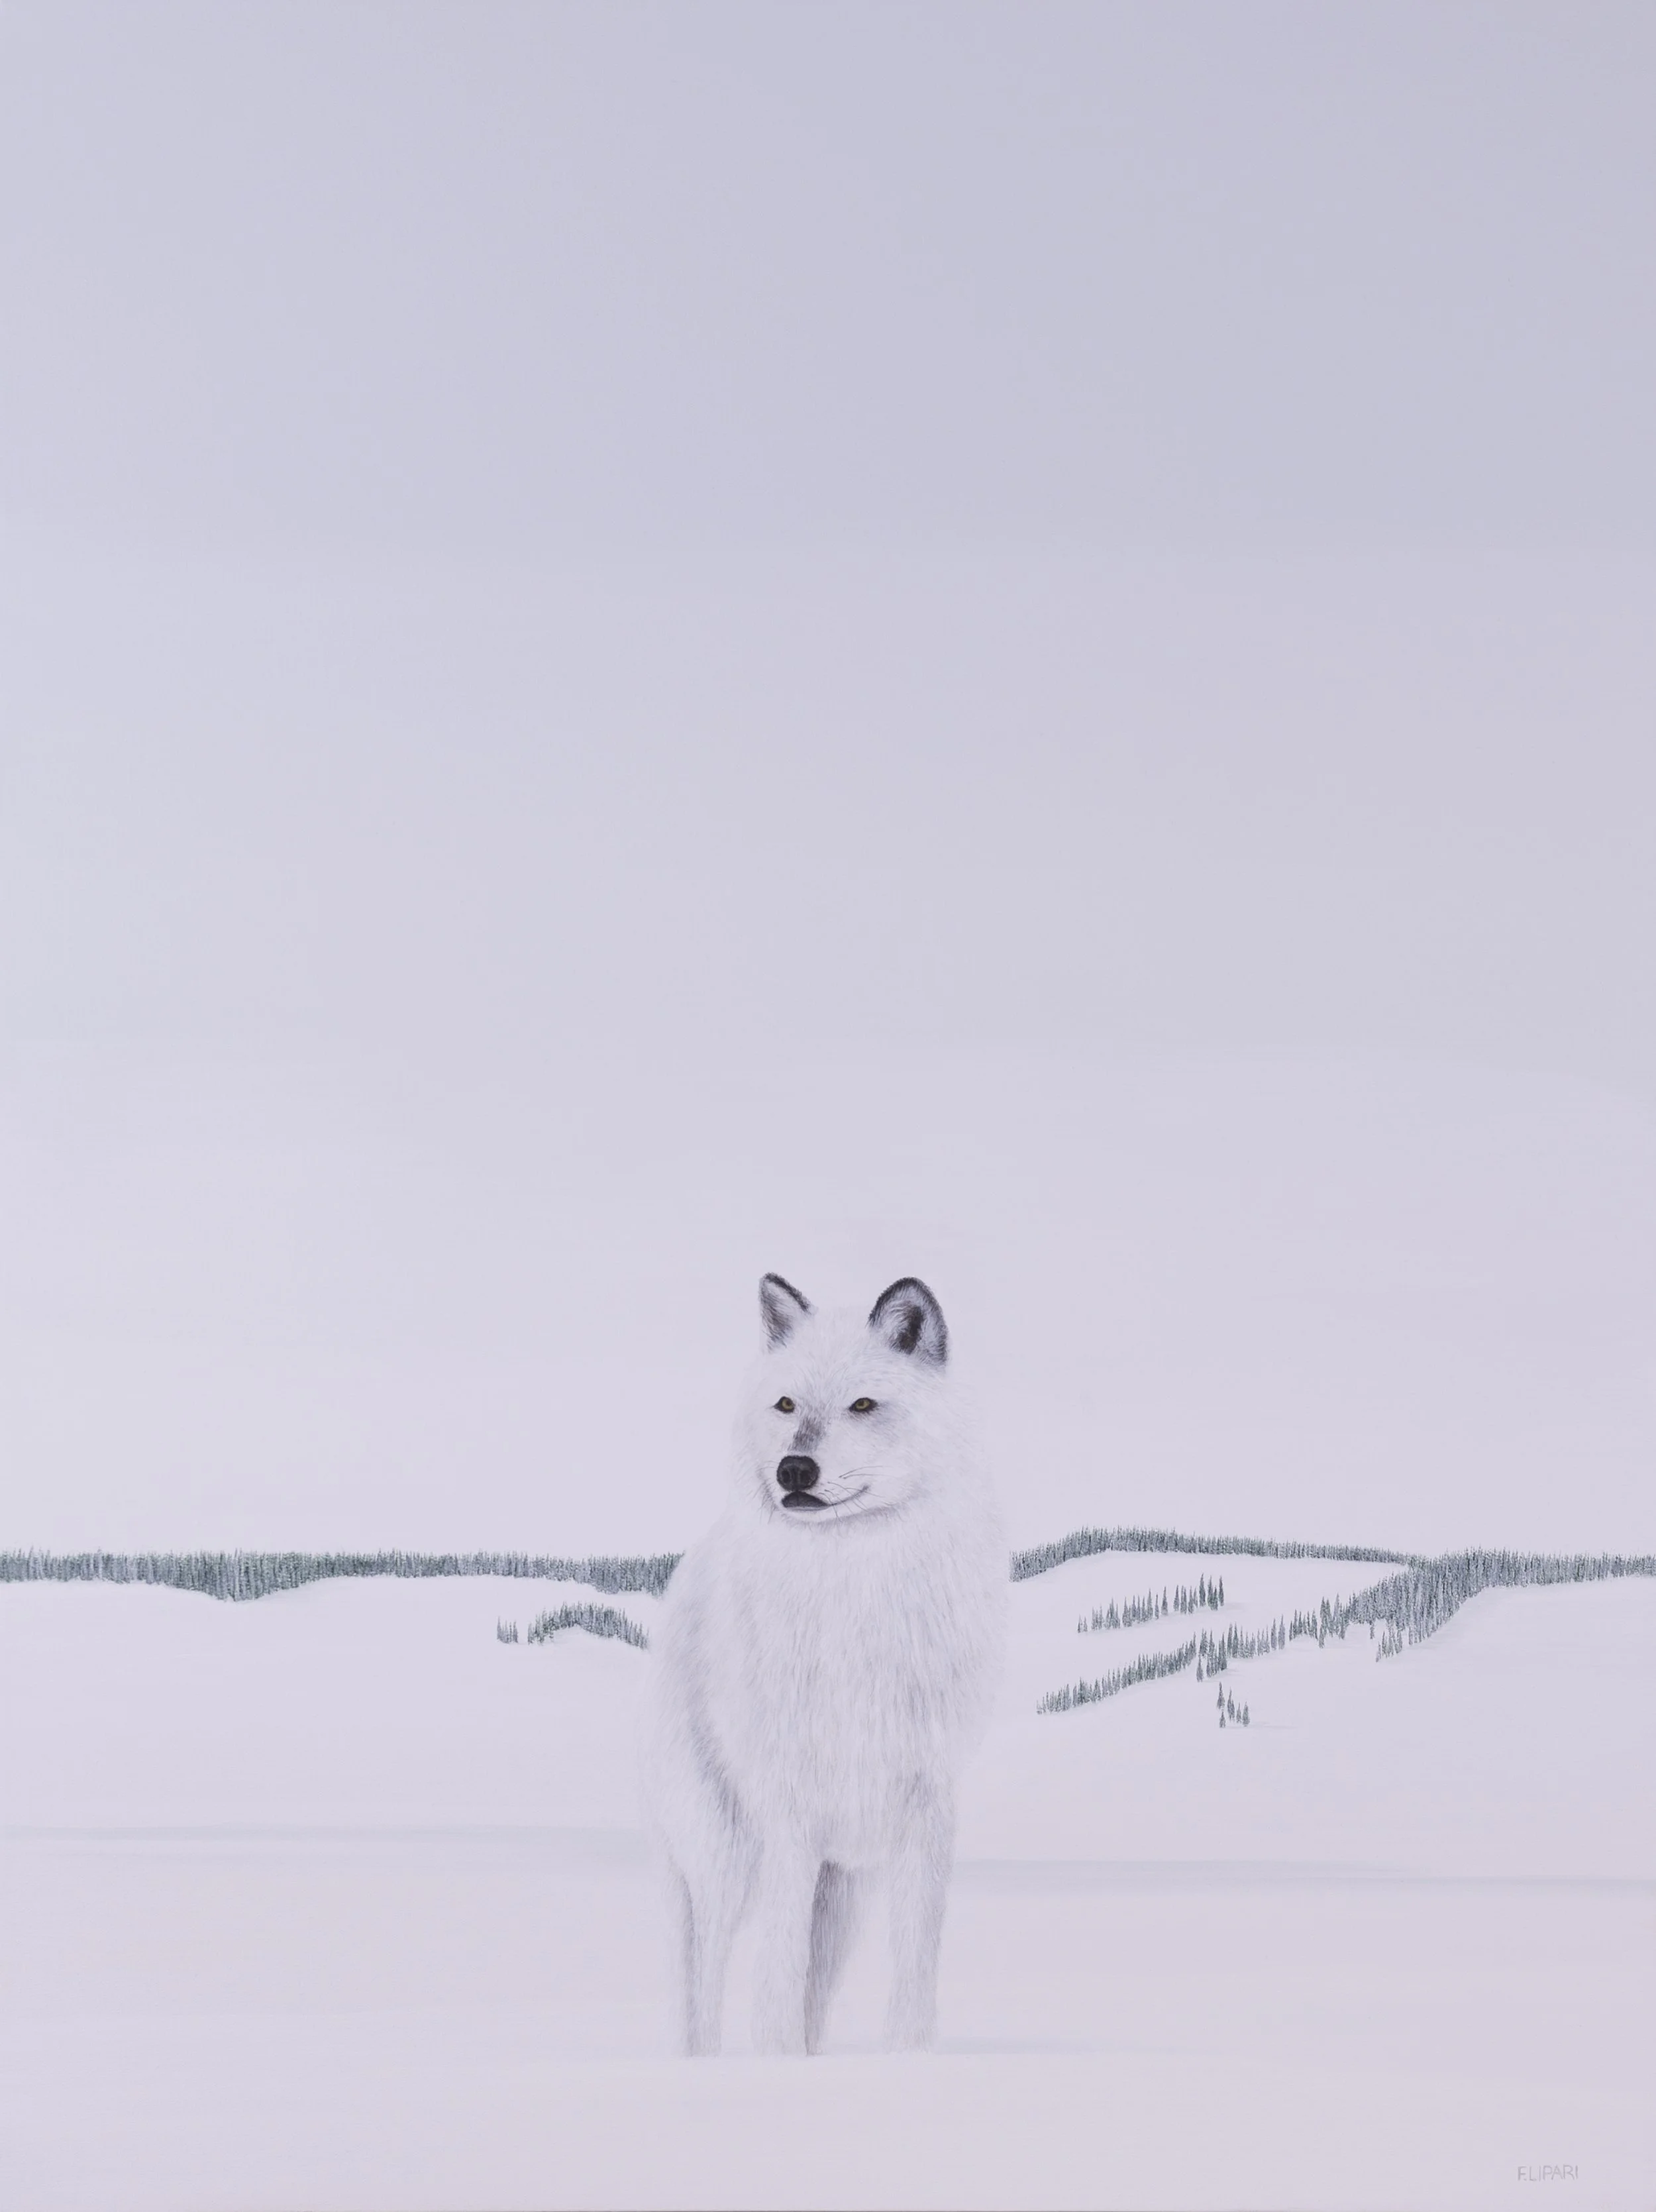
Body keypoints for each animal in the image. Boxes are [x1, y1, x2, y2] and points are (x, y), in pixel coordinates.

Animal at [646, 1273, 1006, 2056]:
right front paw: (775, 2060)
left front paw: (906, 2054)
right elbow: (775, 1973)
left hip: (845, 1887)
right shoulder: (790, 1820)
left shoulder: (926, 1810)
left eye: (862, 1405)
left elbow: (914, 1961)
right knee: (706, 1976)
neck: (851, 1599)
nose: (795, 1469)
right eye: (785, 1405)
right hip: (726, 1857)